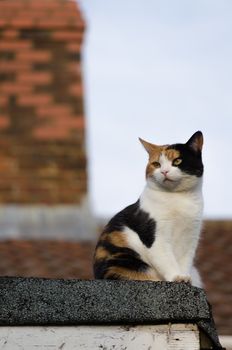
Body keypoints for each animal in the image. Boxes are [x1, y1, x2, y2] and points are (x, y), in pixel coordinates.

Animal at [93, 131, 204, 288]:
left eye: (177, 161)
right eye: (156, 164)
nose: (164, 171)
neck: (177, 198)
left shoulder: (191, 238)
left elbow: (185, 261)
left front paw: (185, 278)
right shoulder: (155, 236)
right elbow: (166, 260)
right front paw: (177, 277)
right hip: (125, 261)